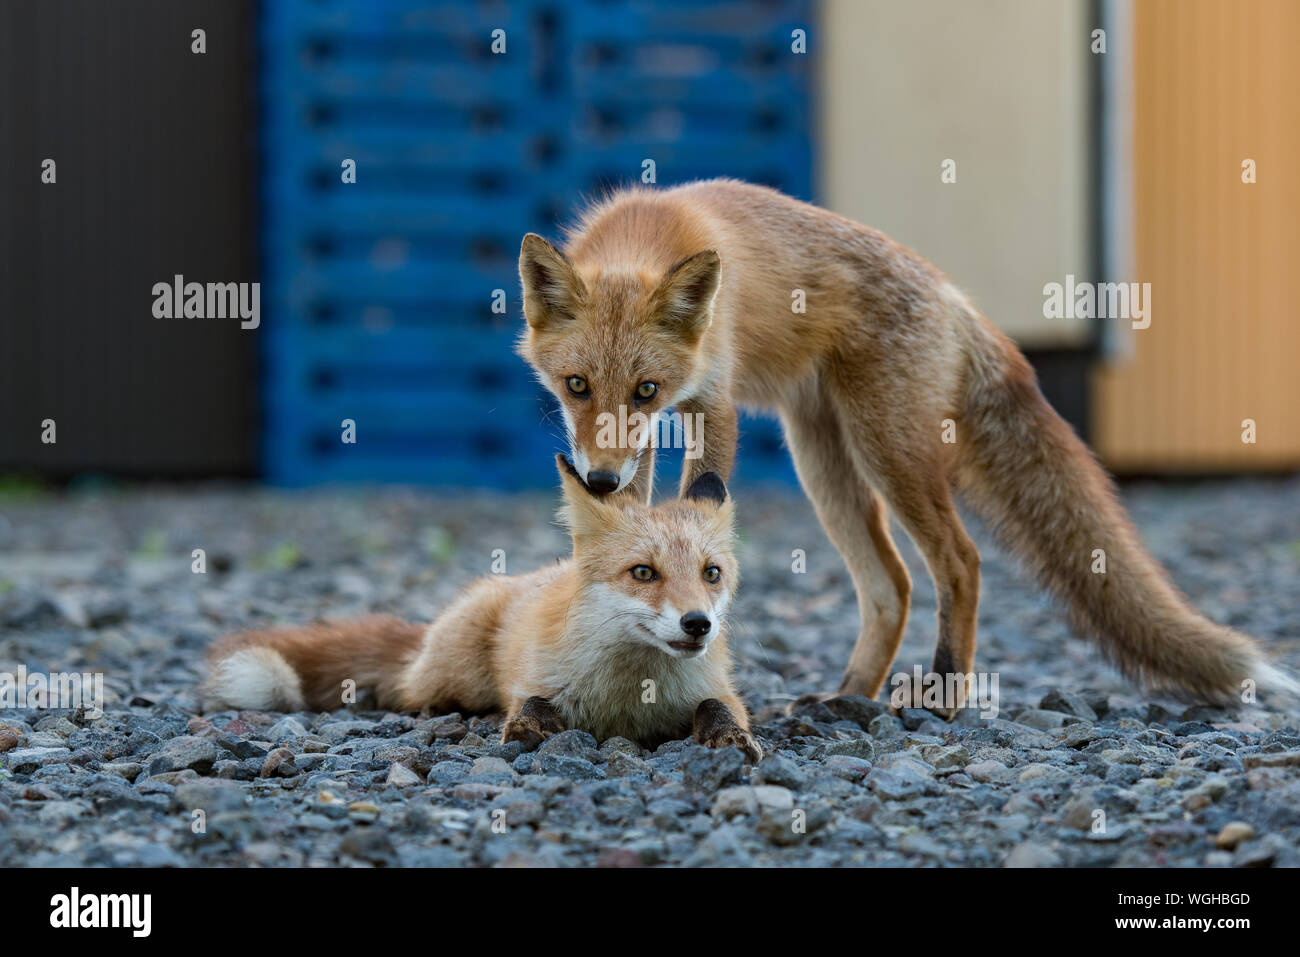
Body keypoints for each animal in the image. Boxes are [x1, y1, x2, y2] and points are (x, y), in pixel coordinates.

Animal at [201, 455, 762, 761]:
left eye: (711, 574)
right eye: (644, 573)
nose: (698, 624)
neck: (631, 697)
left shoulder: (716, 689)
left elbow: (717, 708)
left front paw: (732, 739)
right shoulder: (537, 677)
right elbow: (530, 700)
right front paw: (526, 730)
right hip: (455, 679)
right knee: (407, 691)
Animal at [516, 177, 1298, 712]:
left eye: (646, 389)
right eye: (576, 385)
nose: (598, 481)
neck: (649, 231)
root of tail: (953, 294)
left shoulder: (714, 401)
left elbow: (694, 518)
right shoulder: (642, 443)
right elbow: (642, 519)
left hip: (886, 450)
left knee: (960, 561)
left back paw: (945, 694)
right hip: (823, 458)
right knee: (890, 584)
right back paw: (849, 696)